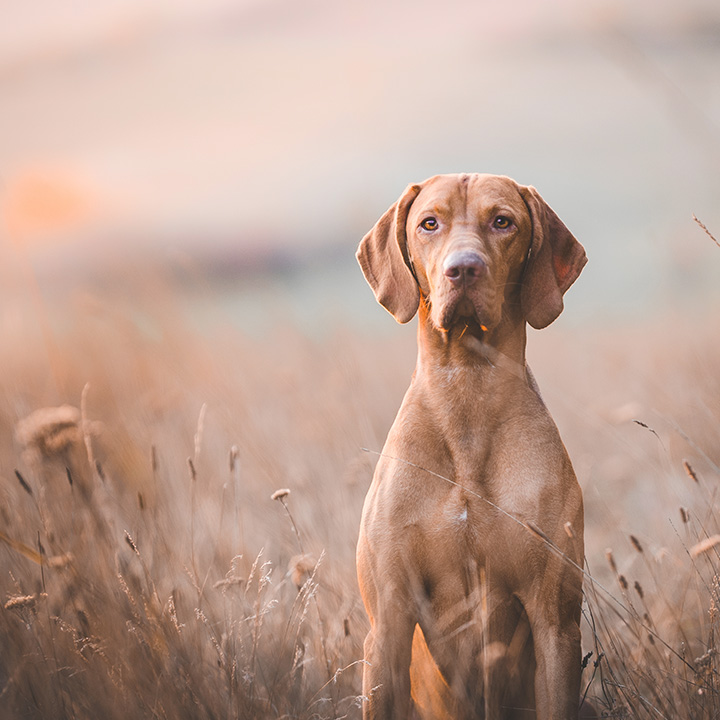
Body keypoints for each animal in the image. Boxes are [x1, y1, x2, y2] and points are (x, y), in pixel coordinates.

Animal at [358, 176, 588, 720]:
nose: (463, 268)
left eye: (502, 221)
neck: (466, 389)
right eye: (429, 223)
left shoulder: (556, 623)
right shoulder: (387, 624)